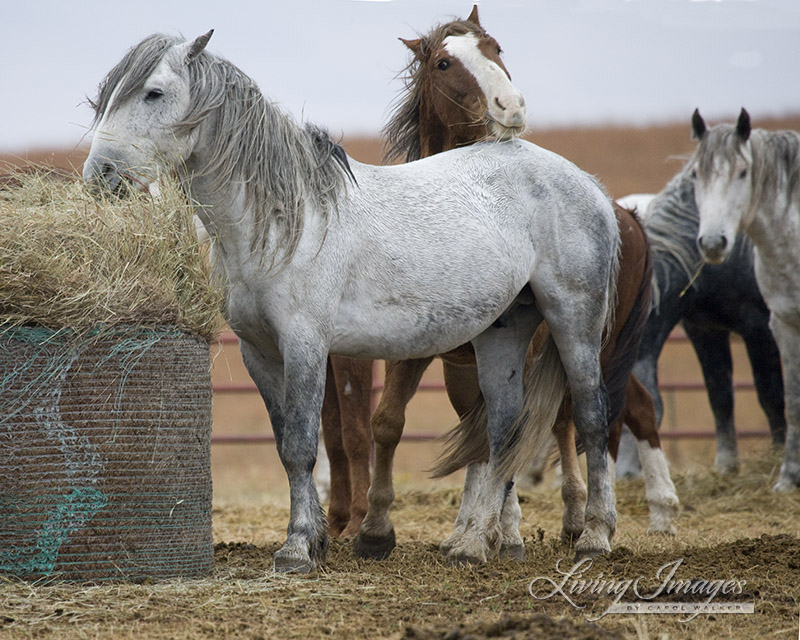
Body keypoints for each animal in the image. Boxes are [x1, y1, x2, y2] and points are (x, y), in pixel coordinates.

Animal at [83, 31, 620, 568]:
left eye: (153, 92)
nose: (100, 177)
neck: (284, 223)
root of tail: (587, 184)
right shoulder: (260, 352)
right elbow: (285, 445)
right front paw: (317, 537)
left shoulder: (305, 346)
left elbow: (302, 445)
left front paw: (298, 546)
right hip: (502, 331)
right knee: (504, 429)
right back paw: (474, 543)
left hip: (574, 318)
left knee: (591, 419)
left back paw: (593, 535)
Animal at [692, 107, 800, 492]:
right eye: (695, 173)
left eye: (742, 172)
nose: (712, 242)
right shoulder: (783, 322)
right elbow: (791, 399)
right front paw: (789, 478)